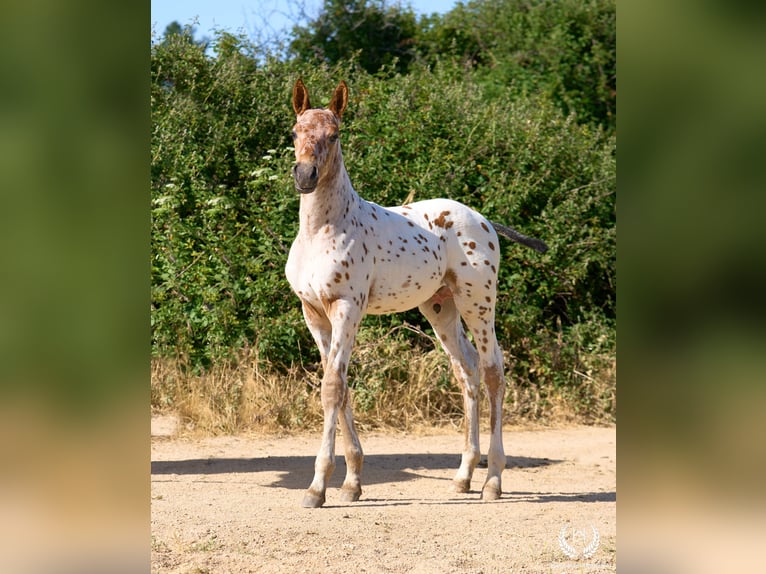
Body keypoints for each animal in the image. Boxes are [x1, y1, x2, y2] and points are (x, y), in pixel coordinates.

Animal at [285, 79, 547, 508]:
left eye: (335, 134)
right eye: (294, 133)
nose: (306, 175)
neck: (322, 231)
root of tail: (484, 220)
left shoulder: (347, 309)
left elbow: (332, 387)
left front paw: (317, 487)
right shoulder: (313, 312)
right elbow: (339, 386)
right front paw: (352, 482)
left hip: (478, 302)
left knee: (493, 370)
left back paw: (492, 481)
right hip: (441, 307)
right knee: (467, 371)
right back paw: (463, 476)